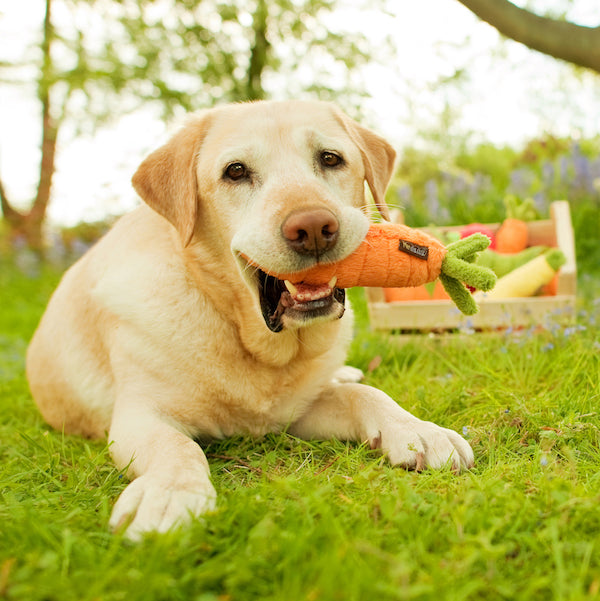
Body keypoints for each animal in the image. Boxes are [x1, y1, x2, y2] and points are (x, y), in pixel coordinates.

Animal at [27, 98, 474, 540]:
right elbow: (177, 447)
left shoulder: (296, 410)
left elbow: (366, 395)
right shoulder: (139, 416)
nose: (314, 227)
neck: (248, 338)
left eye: (330, 159)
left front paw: (419, 430)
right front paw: (169, 493)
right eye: (236, 171)